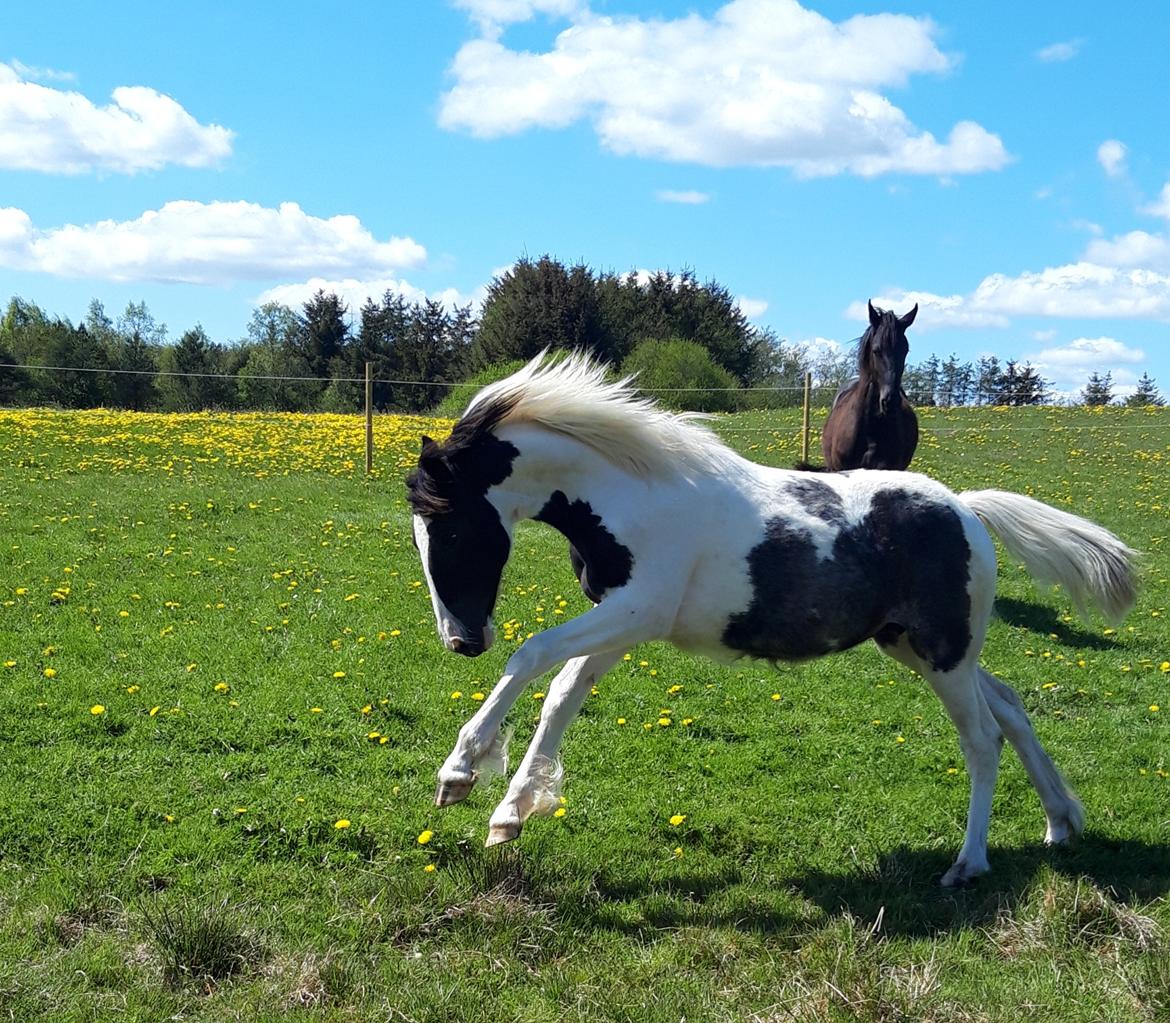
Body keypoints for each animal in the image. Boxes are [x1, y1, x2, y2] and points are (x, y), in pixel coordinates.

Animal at [409, 351, 1132, 884]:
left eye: (451, 532)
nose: (461, 640)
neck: (634, 495)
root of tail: (967, 508)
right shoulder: (622, 619)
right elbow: (563, 692)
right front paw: (510, 814)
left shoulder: (638, 609)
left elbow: (531, 655)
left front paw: (459, 776)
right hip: (918, 645)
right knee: (1010, 705)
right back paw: (1060, 821)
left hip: (944, 653)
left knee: (982, 737)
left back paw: (969, 863)